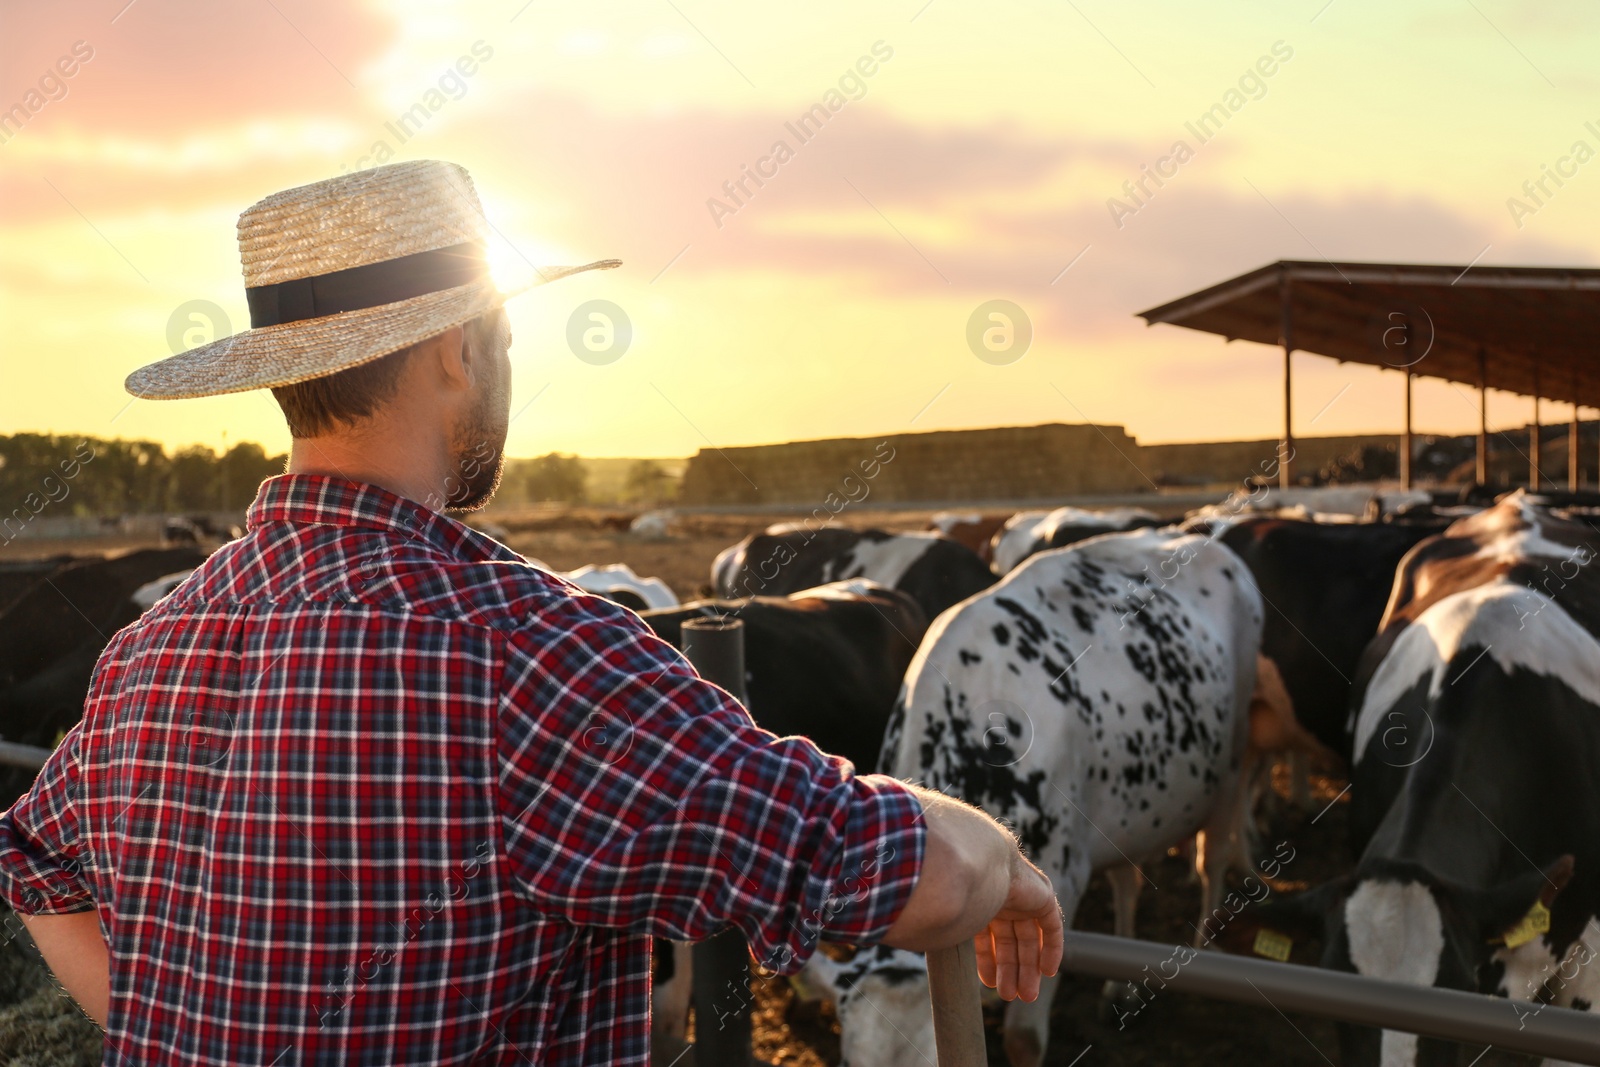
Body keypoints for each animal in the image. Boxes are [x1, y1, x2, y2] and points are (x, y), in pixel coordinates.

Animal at [832, 527, 1267, 1067]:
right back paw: (1120, 989)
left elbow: (1024, 1039)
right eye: (847, 1061)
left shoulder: (1064, 874)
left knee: (1215, 857)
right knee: (1127, 881)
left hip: (1231, 762)